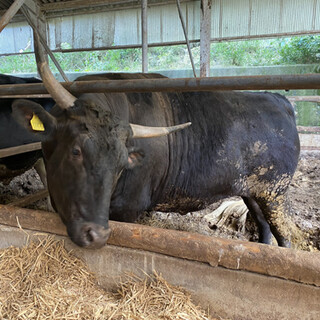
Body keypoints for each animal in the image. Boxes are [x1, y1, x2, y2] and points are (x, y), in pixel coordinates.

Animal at [11, 71, 300, 249]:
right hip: (254, 192)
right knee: (263, 225)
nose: (95, 235)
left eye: (121, 164)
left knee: (284, 235)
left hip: (276, 193)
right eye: (76, 151)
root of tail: (277, 99)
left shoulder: (128, 209)